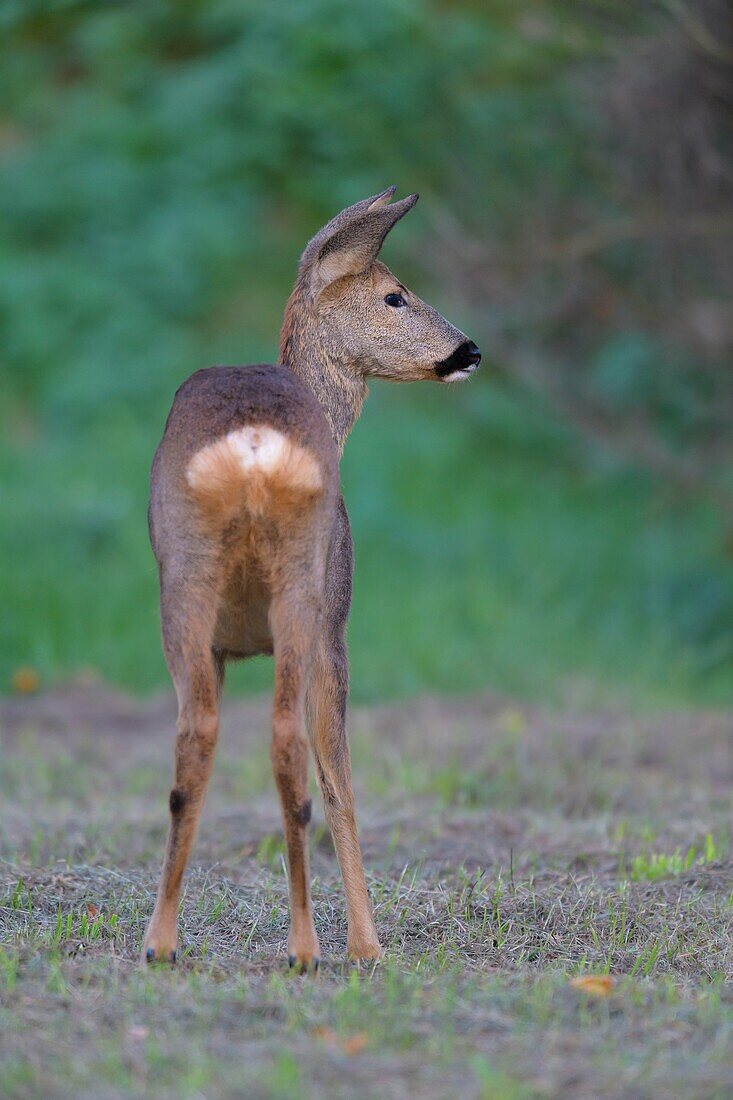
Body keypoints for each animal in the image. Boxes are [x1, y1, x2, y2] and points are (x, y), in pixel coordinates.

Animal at [143, 189, 479, 972]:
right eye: (394, 294)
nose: (469, 351)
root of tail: (252, 445)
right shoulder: (339, 616)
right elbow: (341, 779)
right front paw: (367, 947)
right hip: (307, 590)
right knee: (292, 746)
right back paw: (306, 949)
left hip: (185, 587)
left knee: (196, 739)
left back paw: (160, 943)